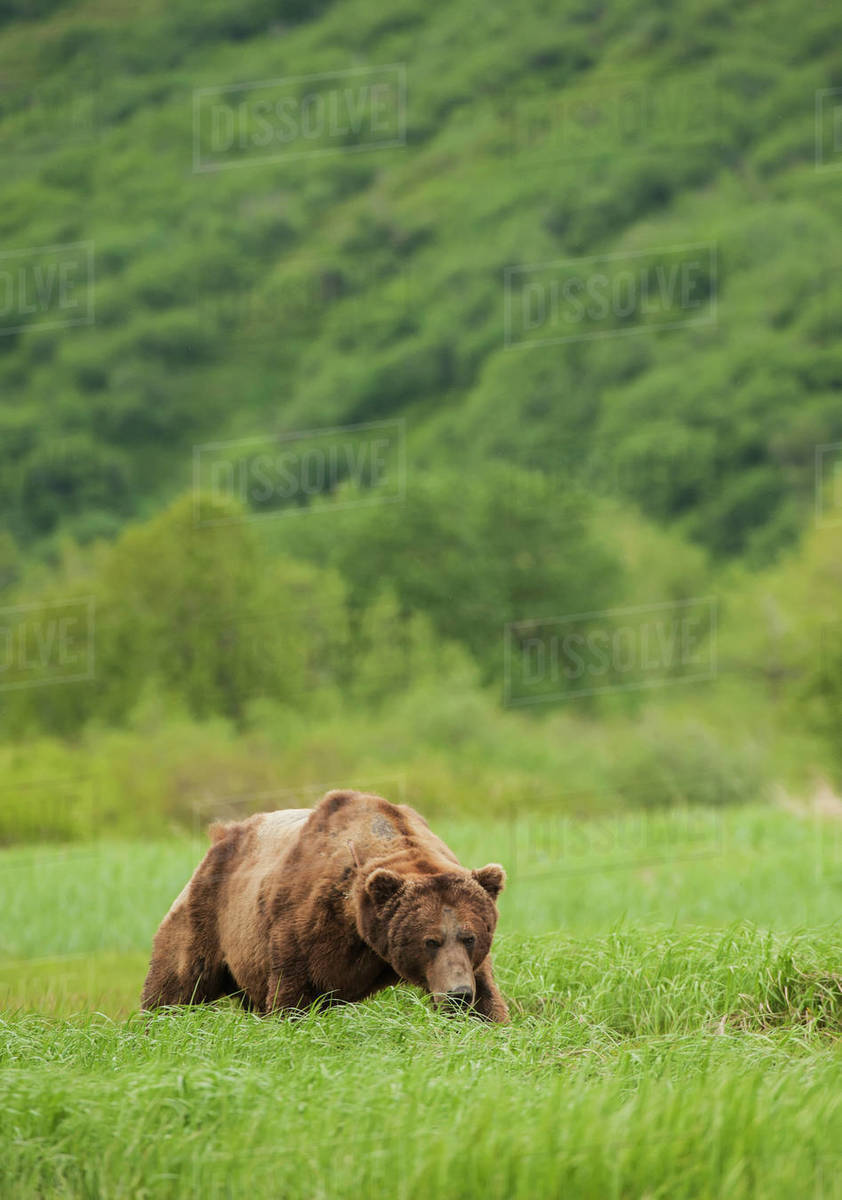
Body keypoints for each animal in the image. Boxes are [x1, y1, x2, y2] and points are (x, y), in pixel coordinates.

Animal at [141, 789, 509, 1023]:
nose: (457, 994)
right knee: (174, 985)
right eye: (430, 940)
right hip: (209, 916)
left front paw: (486, 1022)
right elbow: (293, 996)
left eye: (470, 937)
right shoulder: (305, 925)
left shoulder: (469, 963)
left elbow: (487, 1000)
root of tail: (221, 836)